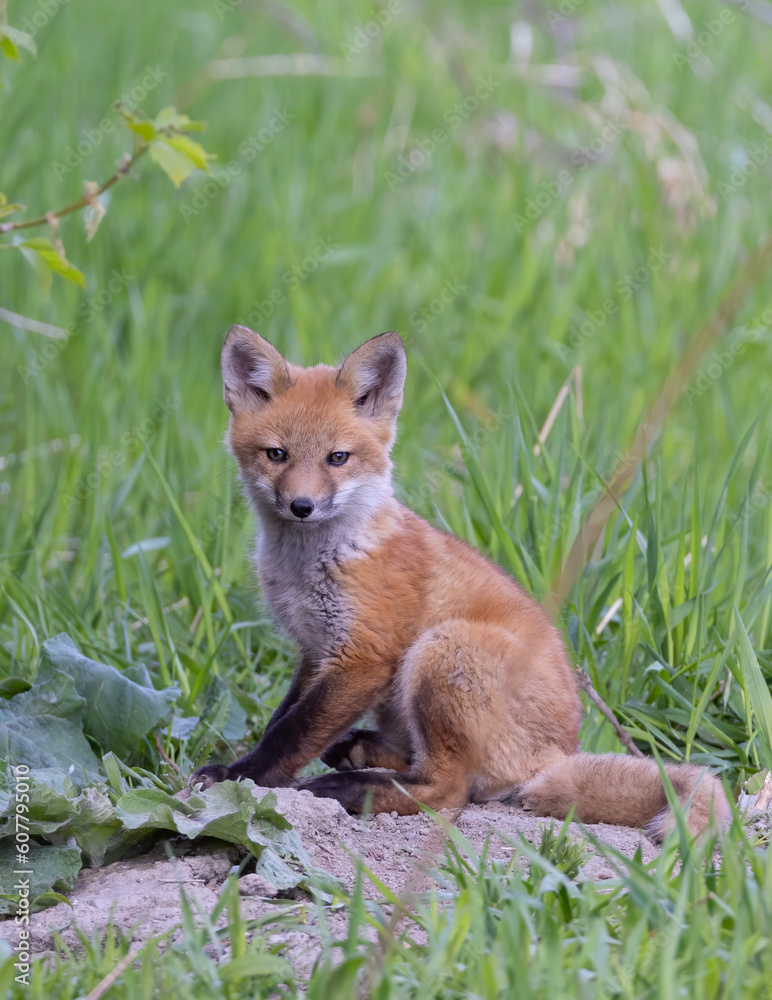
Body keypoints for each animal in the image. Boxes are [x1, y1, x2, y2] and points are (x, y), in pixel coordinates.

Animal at [191, 326, 731, 840]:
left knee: (448, 790)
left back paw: (349, 787)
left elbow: (291, 732)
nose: (301, 506)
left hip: (442, 651)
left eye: (337, 458)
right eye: (276, 454)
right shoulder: (316, 649)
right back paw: (360, 752)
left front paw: (241, 777)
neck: (319, 562)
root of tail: (558, 755)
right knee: (425, 765)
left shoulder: (363, 657)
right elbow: (284, 718)